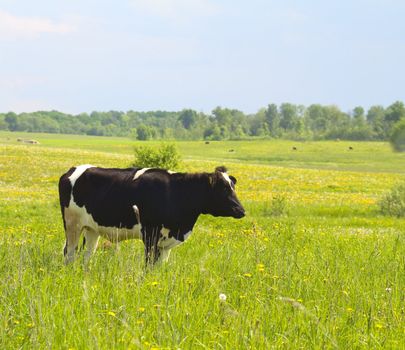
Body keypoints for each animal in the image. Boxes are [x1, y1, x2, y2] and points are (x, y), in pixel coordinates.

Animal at [58, 165, 245, 264]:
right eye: (223, 188)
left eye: (233, 186)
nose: (241, 210)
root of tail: (72, 170)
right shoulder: (150, 235)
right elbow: (148, 266)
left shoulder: (165, 243)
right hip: (72, 224)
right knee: (69, 251)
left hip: (92, 229)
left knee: (87, 254)